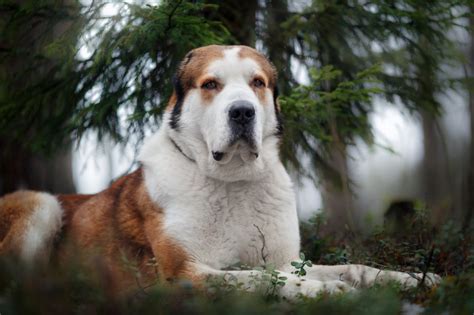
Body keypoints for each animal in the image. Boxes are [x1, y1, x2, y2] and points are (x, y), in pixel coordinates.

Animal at [0, 44, 438, 298]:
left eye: (258, 83)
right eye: (211, 84)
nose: (242, 111)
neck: (233, 182)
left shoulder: (285, 258)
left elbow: (355, 268)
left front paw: (414, 279)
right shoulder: (184, 272)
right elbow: (261, 279)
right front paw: (322, 290)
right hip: (40, 204)